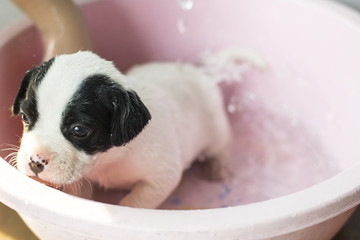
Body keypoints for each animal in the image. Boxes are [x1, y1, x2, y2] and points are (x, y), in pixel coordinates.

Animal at [12, 51, 231, 209]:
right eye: (25, 117)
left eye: (79, 130)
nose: (35, 161)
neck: (109, 160)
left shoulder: (161, 177)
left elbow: (135, 203)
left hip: (216, 128)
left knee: (221, 145)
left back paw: (218, 165)